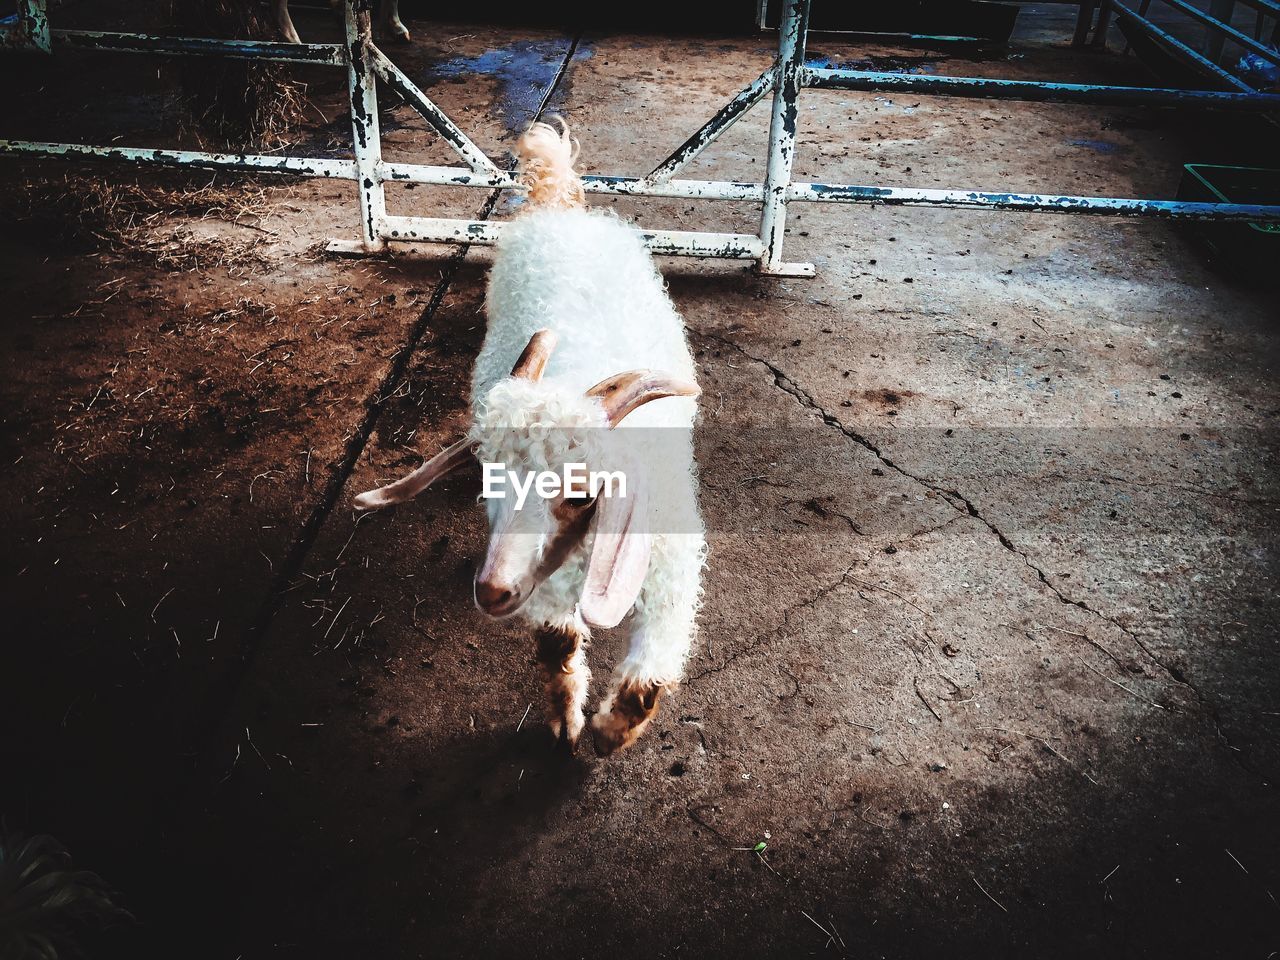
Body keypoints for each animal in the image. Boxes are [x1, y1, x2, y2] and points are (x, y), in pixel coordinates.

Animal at [355, 122, 706, 752]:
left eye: (580, 493)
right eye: (487, 475)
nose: (491, 591)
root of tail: (557, 204)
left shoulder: (670, 565)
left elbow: (652, 666)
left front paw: (611, 733)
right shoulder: (544, 580)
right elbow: (558, 644)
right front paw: (568, 721)